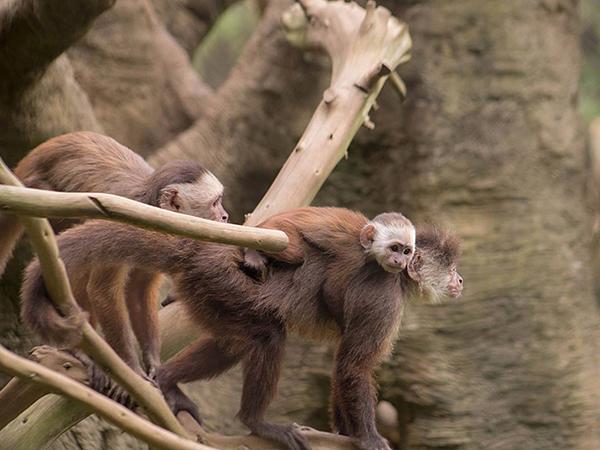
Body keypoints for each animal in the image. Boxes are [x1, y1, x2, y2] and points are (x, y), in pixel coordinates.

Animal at [1, 132, 230, 378]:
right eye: (215, 203)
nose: (225, 216)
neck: (152, 208)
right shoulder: (124, 222)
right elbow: (102, 291)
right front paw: (130, 366)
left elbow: (140, 289)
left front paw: (152, 360)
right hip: (41, 193)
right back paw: (80, 351)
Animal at [17, 207, 460, 450]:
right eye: (451, 267)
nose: (460, 280)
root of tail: (203, 249)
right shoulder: (382, 295)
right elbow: (353, 367)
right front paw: (368, 438)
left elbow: (343, 365)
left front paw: (348, 433)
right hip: (223, 282)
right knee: (267, 336)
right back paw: (254, 421)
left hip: (203, 290)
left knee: (234, 342)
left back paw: (167, 381)